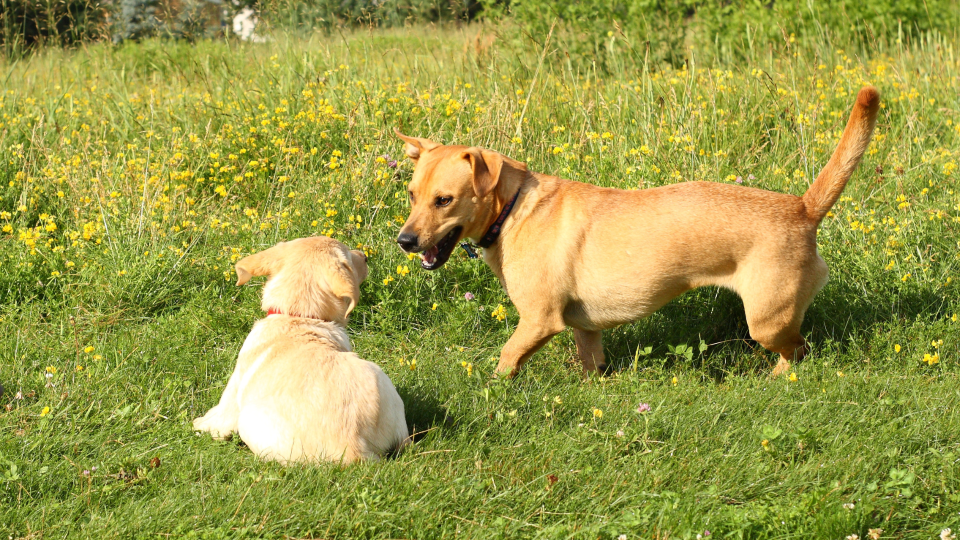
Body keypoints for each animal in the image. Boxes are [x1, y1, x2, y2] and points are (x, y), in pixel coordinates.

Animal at [193, 236, 406, 464]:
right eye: (349, 259)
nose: (365, 256)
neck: (298, 316)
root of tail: (352, 448)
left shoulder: (233, 390)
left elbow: (217, 420)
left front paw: (199, 423)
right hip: (383, 381)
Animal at [394, 86, 880, 378]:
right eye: (412, 195)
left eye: (444, 200)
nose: (404, 241)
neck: (513, 208)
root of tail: (802, 207)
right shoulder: (584, 329)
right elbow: (591, 364)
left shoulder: (538, 319)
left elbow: (506, 357)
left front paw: (493, 390)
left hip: (767, 319)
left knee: (798, 350)